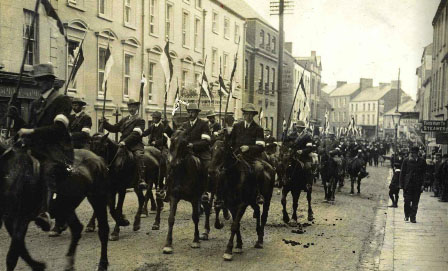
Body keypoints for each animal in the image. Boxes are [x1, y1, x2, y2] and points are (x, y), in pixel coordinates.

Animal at [0, 141, 110, 271]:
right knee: (77, 228)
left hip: (97, 199)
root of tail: (99, 159)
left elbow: (12, 256)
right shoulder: (9, 220)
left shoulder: (21, 218)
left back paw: (102, 264)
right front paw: (38, 265)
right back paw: (69, 265)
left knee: (103, 230)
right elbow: (20, 249)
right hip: (66, 206)